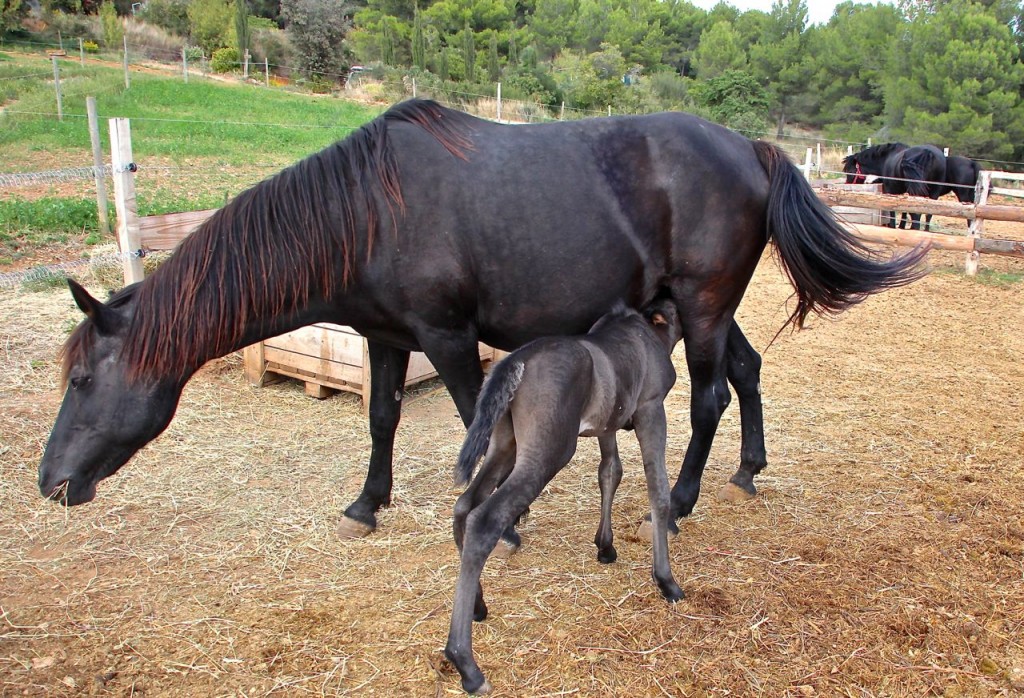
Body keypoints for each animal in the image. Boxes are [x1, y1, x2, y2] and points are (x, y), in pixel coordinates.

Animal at [39, 99, 926, 548]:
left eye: (81, 379)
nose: (50, 482)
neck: (366, 211)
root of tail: (751, 147)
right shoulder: (387, 339)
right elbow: (383, 418)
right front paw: (368, 504)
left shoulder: (449, 337)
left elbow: (477, 421)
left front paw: (506, 519)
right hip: (701, 306)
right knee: (744, 372)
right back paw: (747, 469)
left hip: (705, 304)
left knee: (708, 396)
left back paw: (679, 499)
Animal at [445, 299, 684, 694]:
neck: (643, 330)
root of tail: (514, 362)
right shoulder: (651, 409)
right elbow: (658, 489)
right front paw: (666, 580)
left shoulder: (608, 424)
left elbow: (610, 471)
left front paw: (605, 546)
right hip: (548, 451)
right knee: (485, 518)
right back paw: (466, 664)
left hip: (505, 444)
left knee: (465, 505)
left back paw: (478, 606)